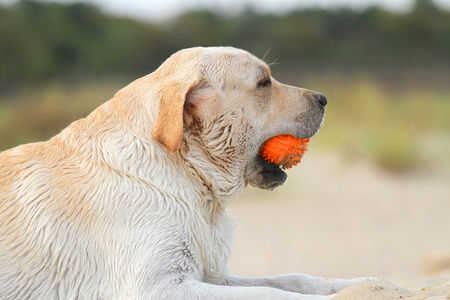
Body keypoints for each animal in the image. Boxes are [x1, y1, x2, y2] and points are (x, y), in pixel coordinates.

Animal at [0, 46, 370, 298]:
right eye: (264, 83)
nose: (324, 98)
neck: (188, 173)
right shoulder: (161, 286)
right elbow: (272, 293)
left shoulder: (211, 273)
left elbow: (292, 279)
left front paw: (362, 283)